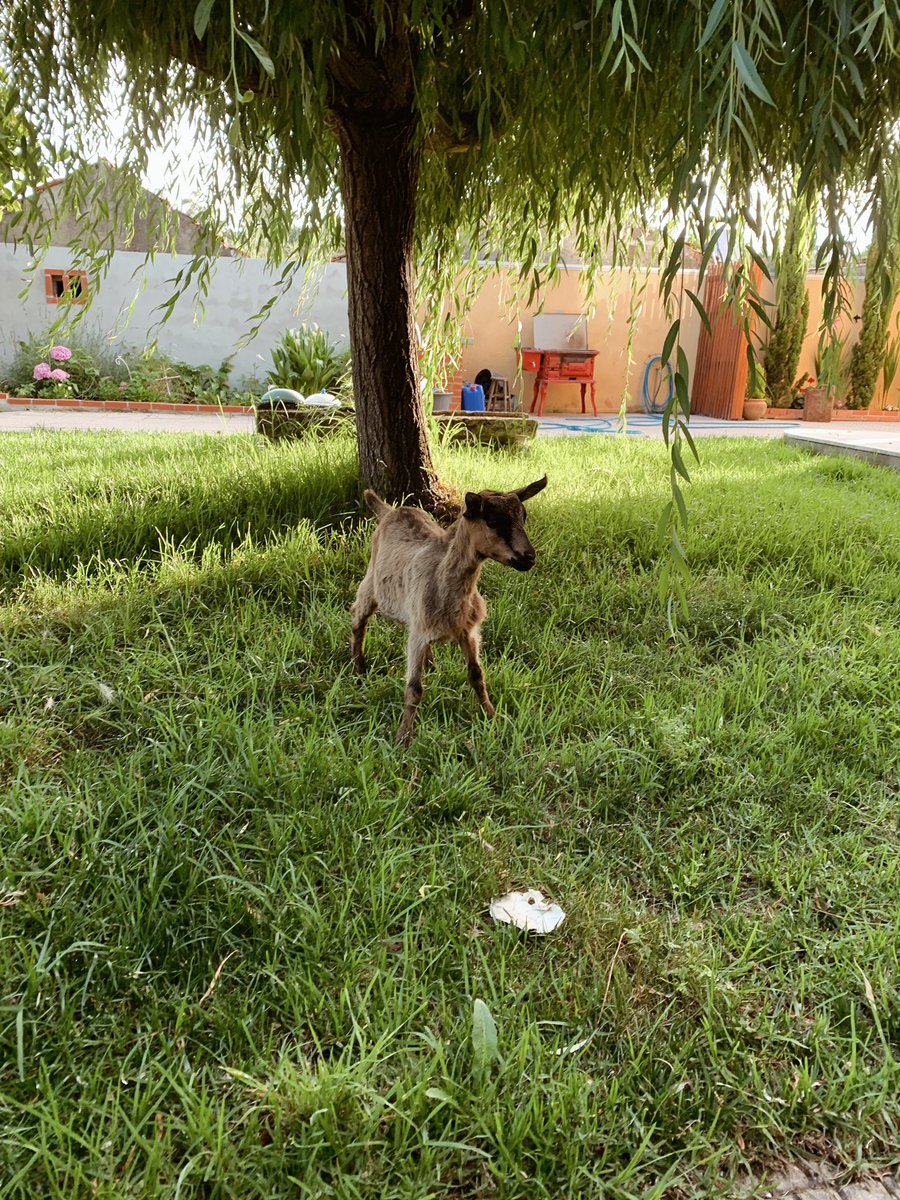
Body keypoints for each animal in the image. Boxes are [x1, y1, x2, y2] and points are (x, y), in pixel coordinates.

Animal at [351, 476, 548, 745]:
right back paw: (358, 668)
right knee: (357, 618)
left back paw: (431, 664)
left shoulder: (468, 631)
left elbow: (477, 675)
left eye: (523, 517)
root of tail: (390, 511)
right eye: (493, 521)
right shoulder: (418, 634)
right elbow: (414, 688)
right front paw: (403, 738)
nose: (529, 557)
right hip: (371, 583)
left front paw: (491, 716)